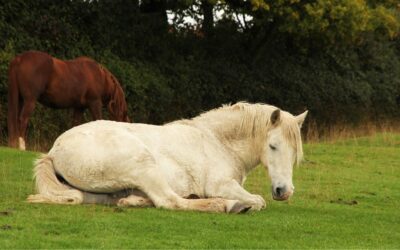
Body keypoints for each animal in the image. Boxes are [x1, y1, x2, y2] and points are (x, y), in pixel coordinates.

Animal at [28, 101, 308, 213]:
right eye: (273, 146)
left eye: (295, 152)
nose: (284, 191)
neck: (217, 141)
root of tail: (54, 151)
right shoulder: (221, 185)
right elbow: (259, 201)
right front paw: (242, 202)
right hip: (143, 164)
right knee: (169, 201)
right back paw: (227, 206)